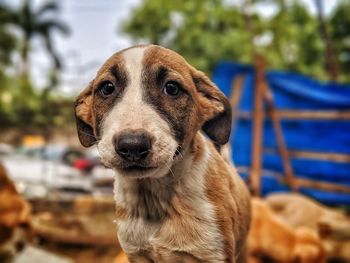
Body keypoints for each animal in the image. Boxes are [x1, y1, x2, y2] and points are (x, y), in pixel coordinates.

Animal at [74, 44, 252, 262]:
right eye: (107, 88)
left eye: (172, 88)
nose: (132, 146)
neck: (154, 197)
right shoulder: (137, 254)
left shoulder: (214, 254)